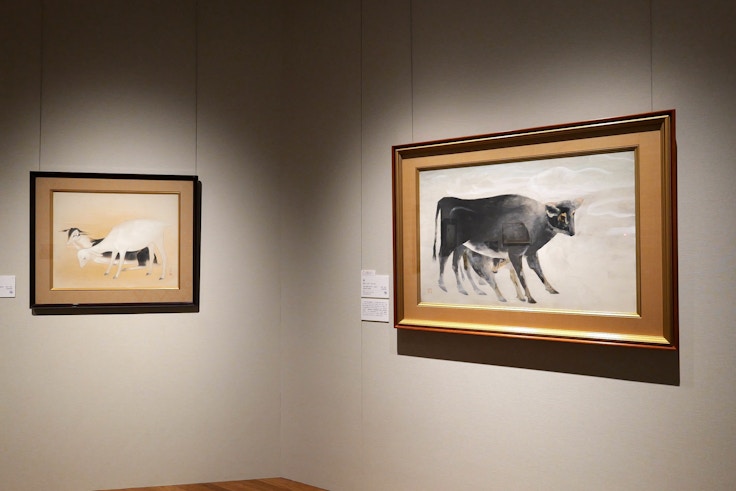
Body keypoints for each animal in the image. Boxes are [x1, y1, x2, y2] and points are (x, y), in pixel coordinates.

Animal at [432, 194, 582, 303]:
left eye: (573, 213)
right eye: (561, 216)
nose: (572, 232)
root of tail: (445, 199)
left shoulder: (530, 253)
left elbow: (538, 271)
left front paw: (551, 290)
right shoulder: (515, 254)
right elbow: (521, 276)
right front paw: (530, 298)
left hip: (461, 247)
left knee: (457, 265)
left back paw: (467, 290)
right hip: (450, 243)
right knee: (443, 257)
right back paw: (443, 285)